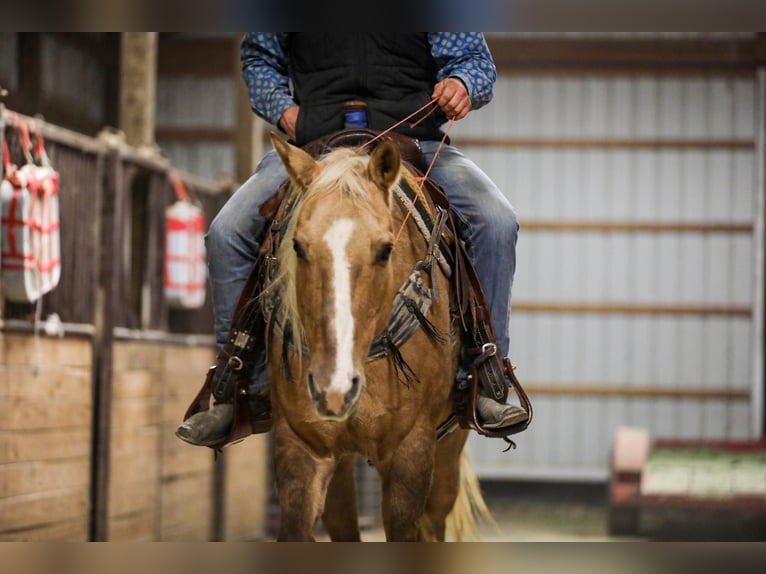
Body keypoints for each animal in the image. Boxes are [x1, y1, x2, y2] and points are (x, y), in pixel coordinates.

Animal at [264, 133, 492, 544]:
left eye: (386, 250)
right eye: (298, 247)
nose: (334, 388)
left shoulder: (410, 454)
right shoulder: (301, 446)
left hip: (447, 452)